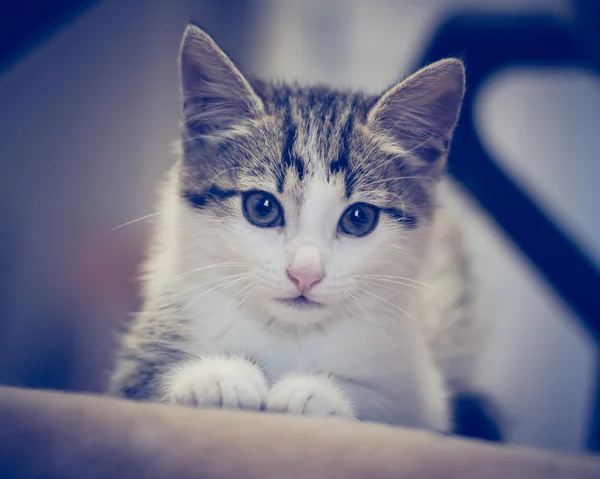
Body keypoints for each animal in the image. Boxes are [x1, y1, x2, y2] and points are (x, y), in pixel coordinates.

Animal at [108, 23, 482, 436]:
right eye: (262, 208)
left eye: (359, 219)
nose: (305, 273)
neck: (290, 333)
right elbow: (141, 386)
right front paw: (216, 377)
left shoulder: (424, 396)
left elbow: (391, 410)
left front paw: (318, 395)